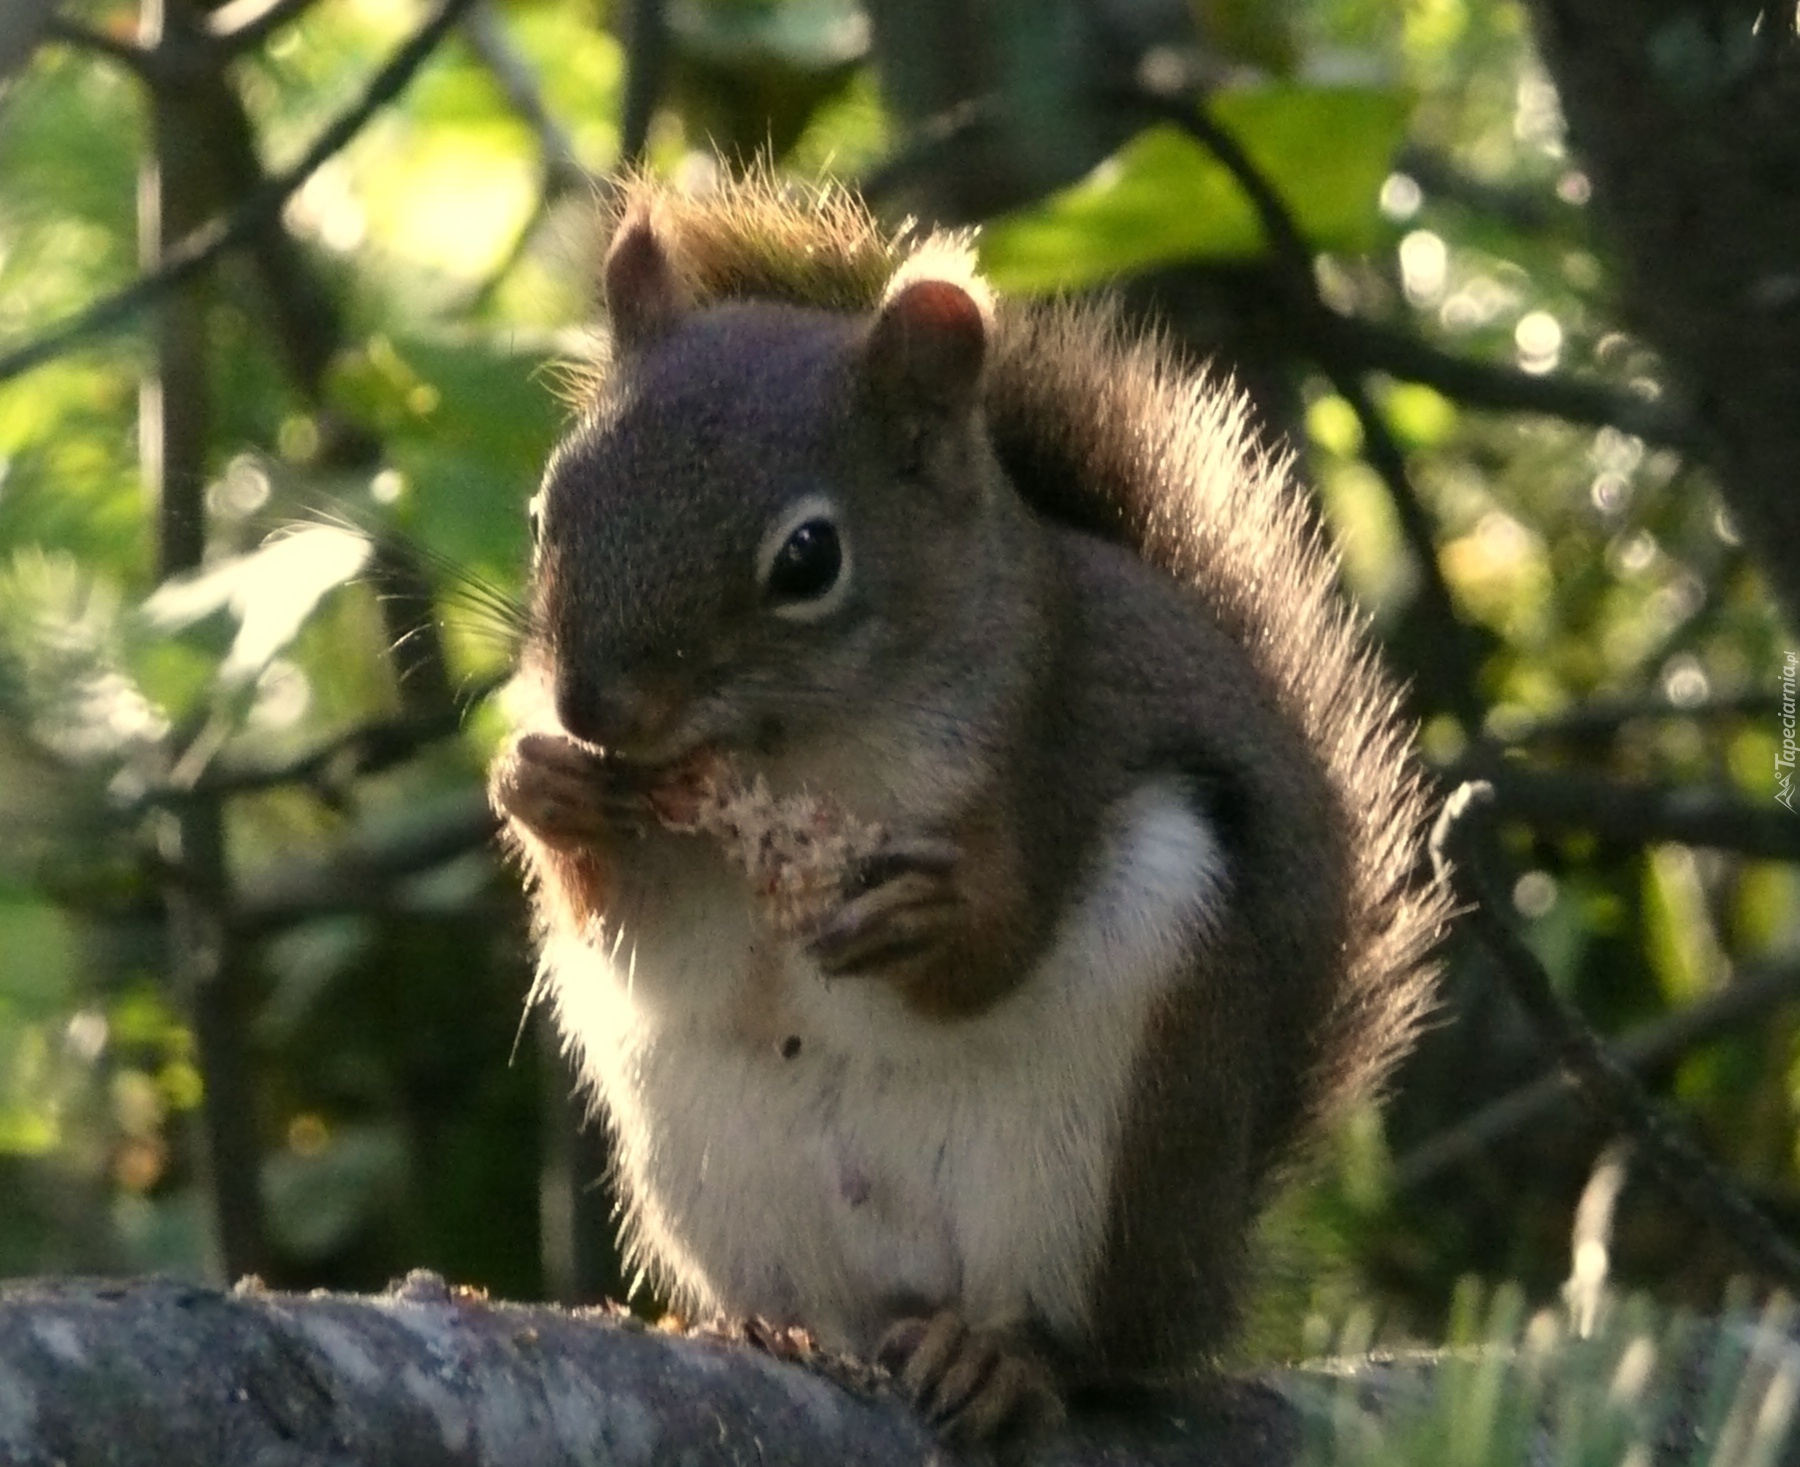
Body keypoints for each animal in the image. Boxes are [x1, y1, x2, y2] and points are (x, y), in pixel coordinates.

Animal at [489, 171, 1447, 1447]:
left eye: (808, 559)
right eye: (546, 510)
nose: (593, 708)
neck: (801, 749)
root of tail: (1206, 1272)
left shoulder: (1049, 741)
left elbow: (994, 949)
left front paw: (928, 919)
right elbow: (648, 940)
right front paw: (543, 788)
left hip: (1109, 1157)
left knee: (1084, 1345)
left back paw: (1000, 1358)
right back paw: (768, 1331)